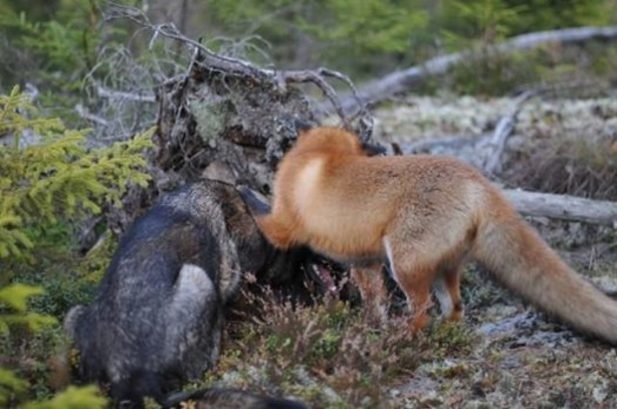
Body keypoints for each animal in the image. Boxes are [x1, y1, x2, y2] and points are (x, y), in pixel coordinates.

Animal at [258, 125, 616, 342]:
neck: (318, 155)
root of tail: (476, 177)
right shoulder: (365, 262)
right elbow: (375, 301)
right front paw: (371, 327)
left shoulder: (284, 223)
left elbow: (263, 219)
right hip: (444, 267)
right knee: (455, 308)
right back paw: (441, 336)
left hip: (404, 263)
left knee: (422, 311)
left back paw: (406, 337)